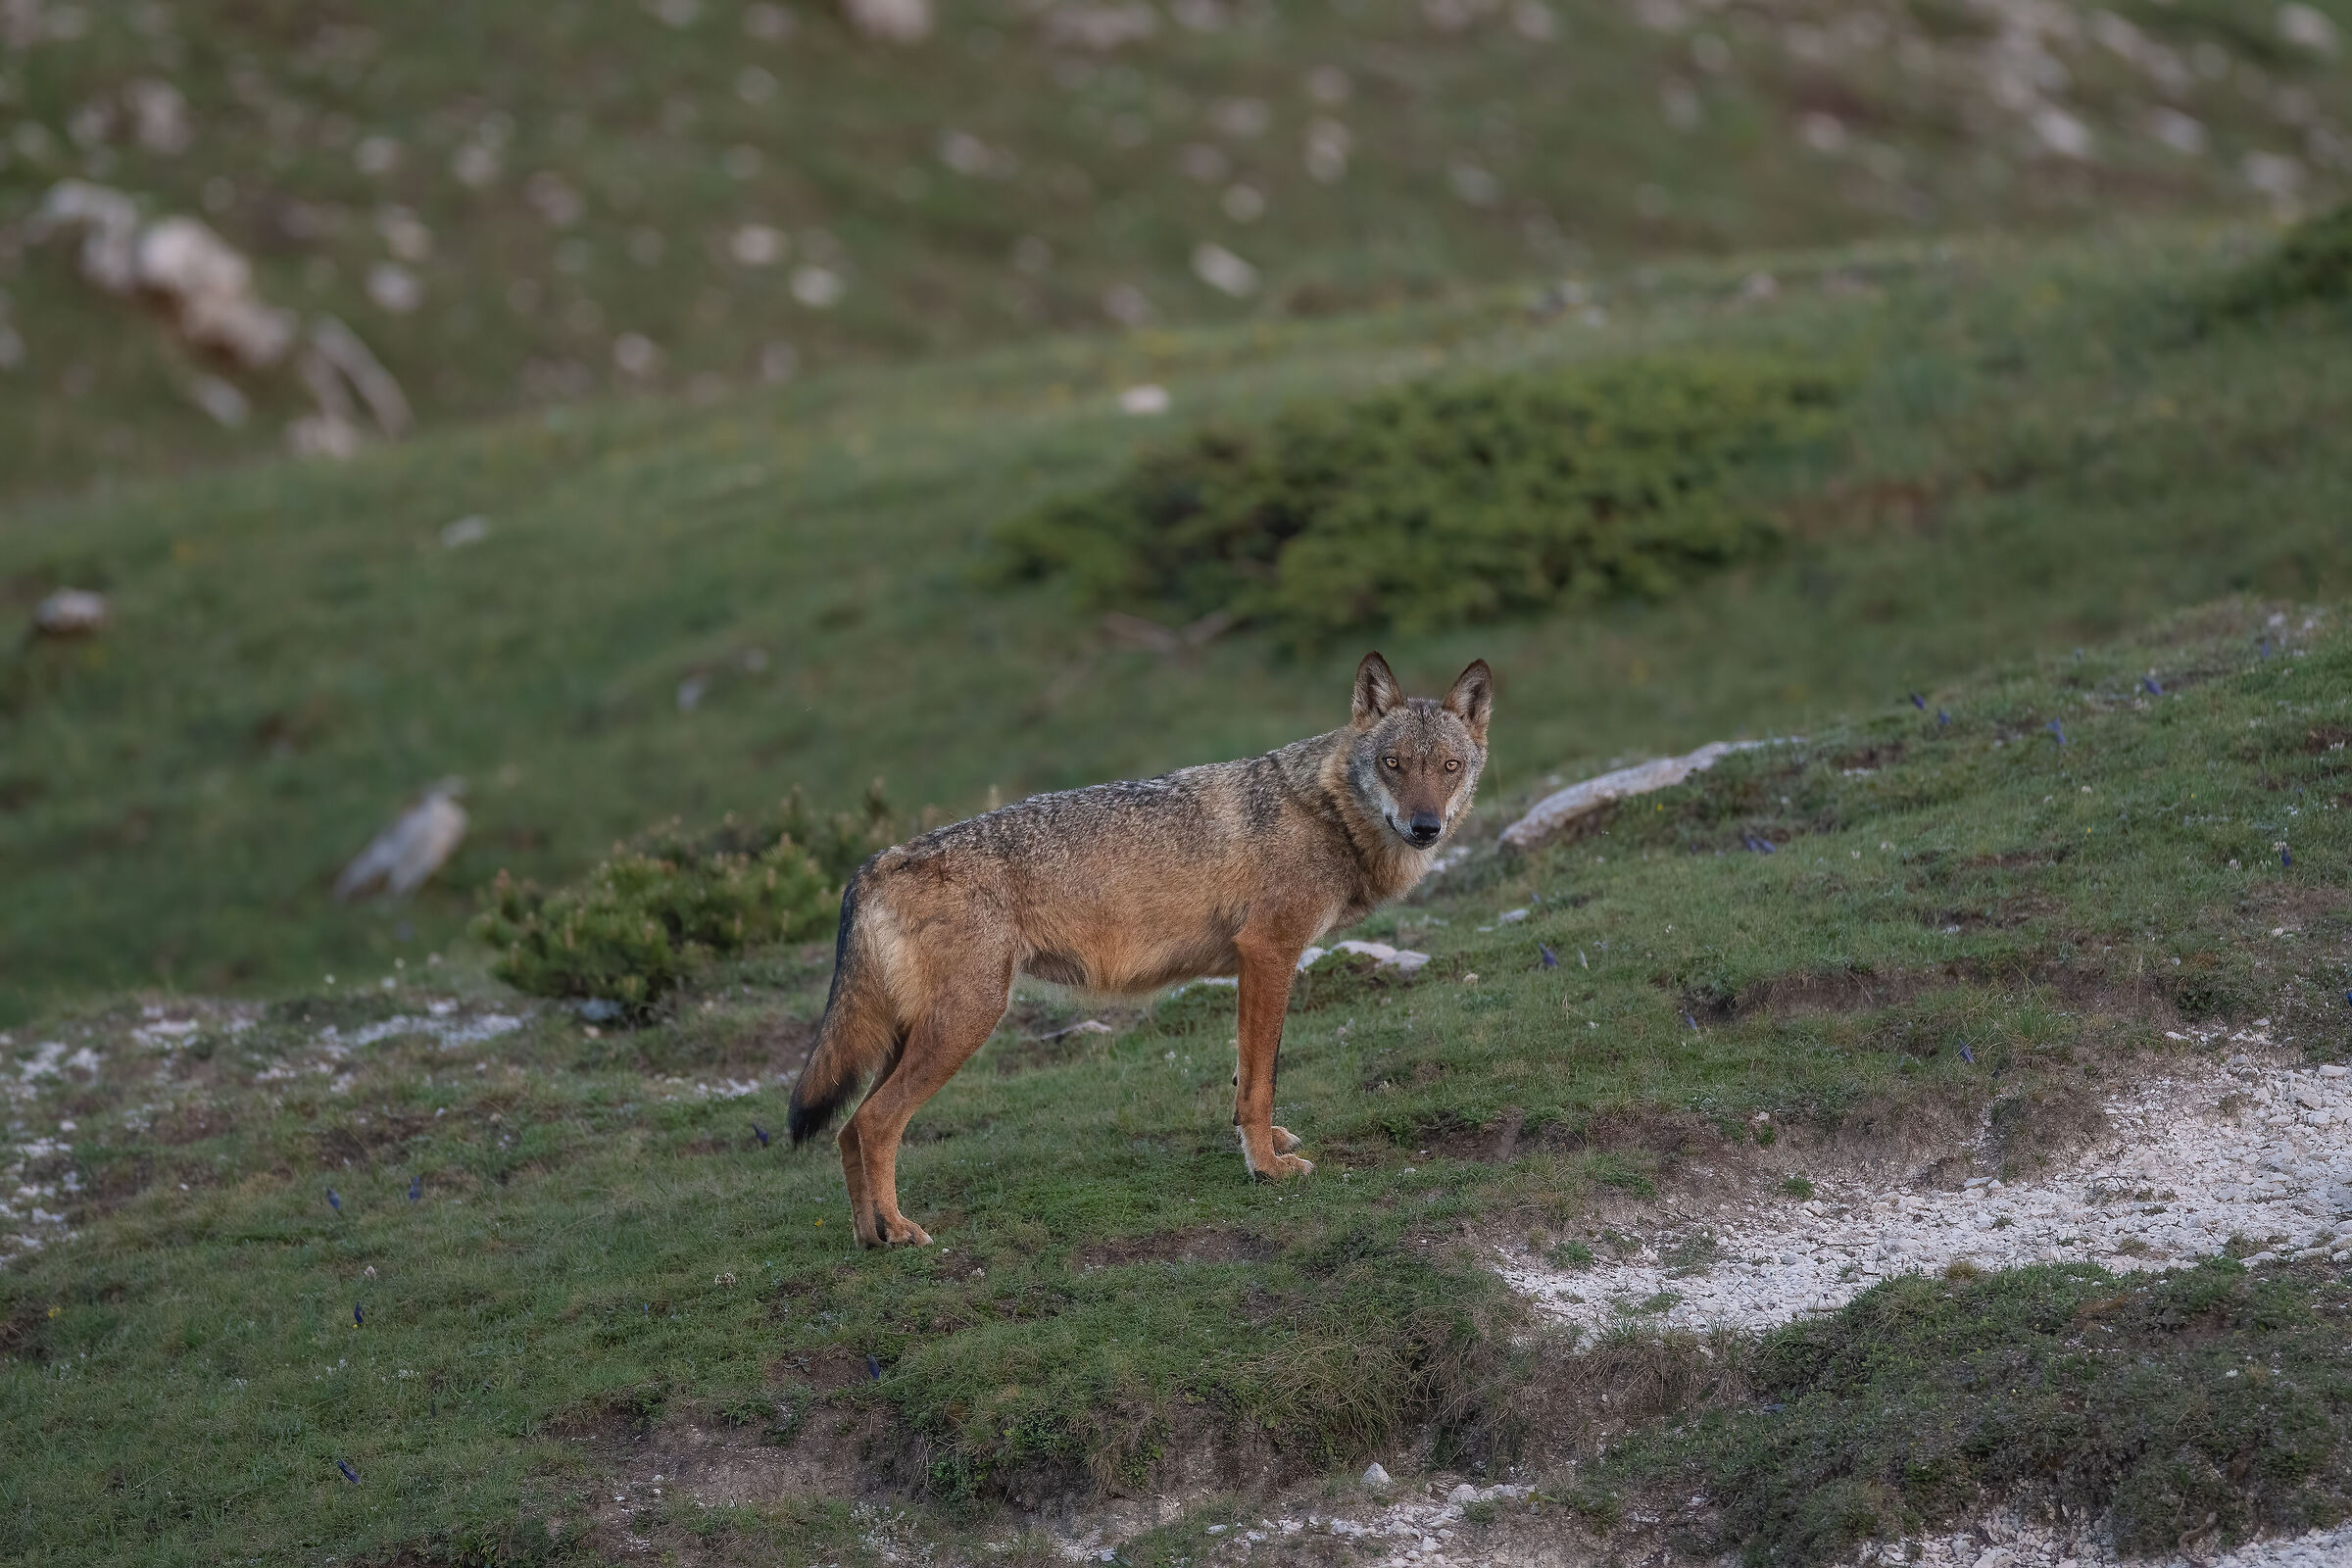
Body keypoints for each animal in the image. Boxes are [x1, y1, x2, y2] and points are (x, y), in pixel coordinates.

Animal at [786, 652, 1493, 1247]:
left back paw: (870, 1237)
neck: (1327, 811)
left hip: (912, 1037)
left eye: (1448, 767)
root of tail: (877, 862)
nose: (1425, 826)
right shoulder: (1269, 953)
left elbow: (1247, 1077)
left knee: (847, 1128)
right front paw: (1267, 1167)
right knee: (875, 1123)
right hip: (964, 1023)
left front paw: (1262, 1145)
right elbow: (1260, 1081)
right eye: (1394, 764)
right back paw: (901, 1231)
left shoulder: (1252, 966)